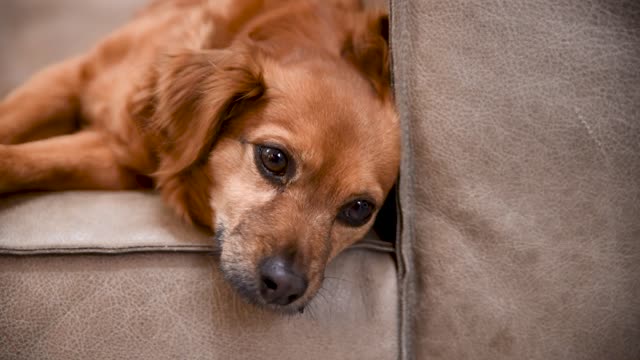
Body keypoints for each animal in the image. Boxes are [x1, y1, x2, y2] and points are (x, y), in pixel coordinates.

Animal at [0, 0, 400, 312]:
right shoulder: (71, 76)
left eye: (358, 209)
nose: (285, 285)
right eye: (274, 159)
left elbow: (31, 161)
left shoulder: (118, 158)